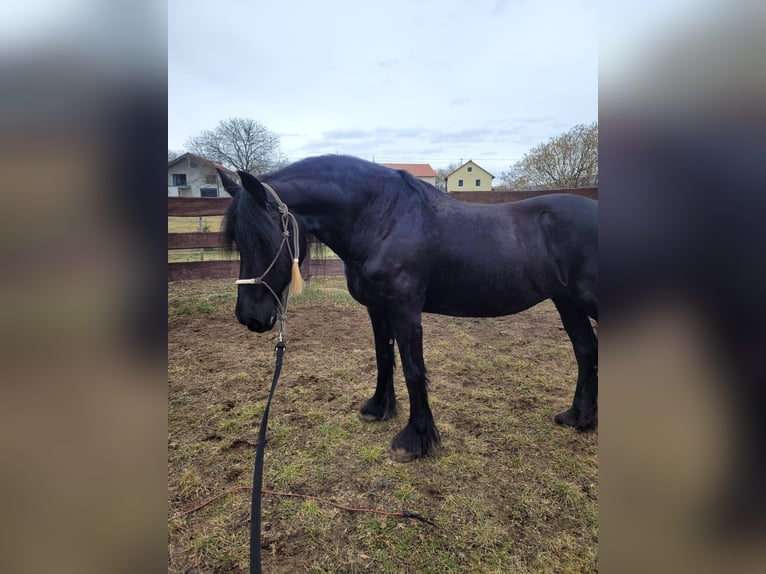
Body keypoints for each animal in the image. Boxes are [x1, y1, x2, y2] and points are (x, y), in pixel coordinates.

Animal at [219, 155, 598, 462]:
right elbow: (384, 357)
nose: (250, 317)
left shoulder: (405, 311)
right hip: (567, 303)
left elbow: (414, 370)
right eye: (238, 239)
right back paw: (578, 418)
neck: (383, 219)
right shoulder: (377, 308)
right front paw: (378, 409)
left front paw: (415, 440)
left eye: (265, 238)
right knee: (586, 350)